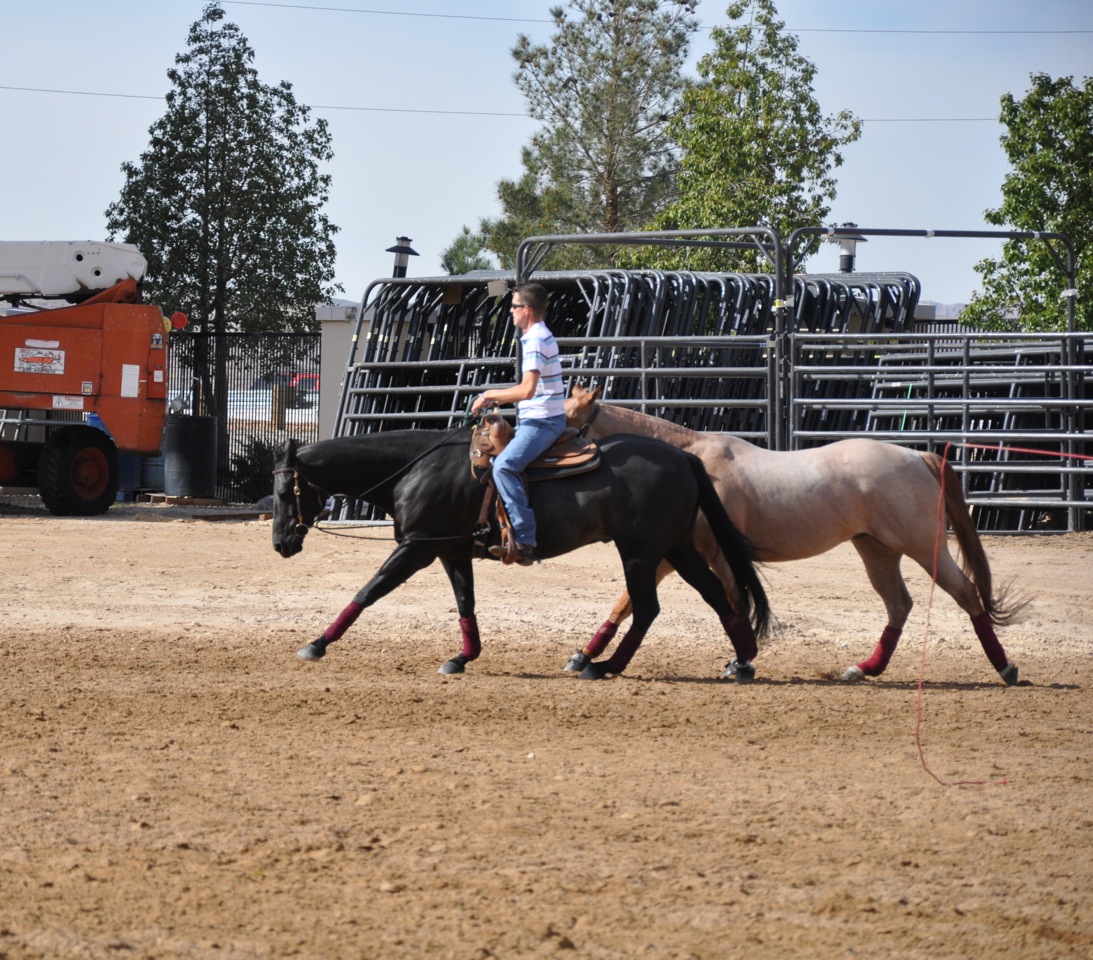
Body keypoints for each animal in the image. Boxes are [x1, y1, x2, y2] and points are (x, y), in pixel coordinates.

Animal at [271, 424, 769, 682]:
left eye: (282, 491)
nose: (280, 544)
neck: (415, 469)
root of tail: (683, 457)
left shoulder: (414, 548)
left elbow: (367, 592)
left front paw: (316, 644)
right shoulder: (450, 552)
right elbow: (466, 604)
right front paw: (462, 657)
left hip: (640, 552)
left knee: (647, 607)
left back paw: (602, 665)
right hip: (675, 547)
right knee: (714, 596)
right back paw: (742, 661)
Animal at [563, 382, 1023, 682]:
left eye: (567, 421)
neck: (692, 461)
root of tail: (918, 458)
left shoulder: (709, 555)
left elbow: (734, 601)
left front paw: (742, 663)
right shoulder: (668, 553)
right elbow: (623, 604)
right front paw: (583, 656)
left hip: (923, 547)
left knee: (965, 593)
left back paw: (1006, 667)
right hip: (877, 550)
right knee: (898, 605)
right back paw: (864, 668)